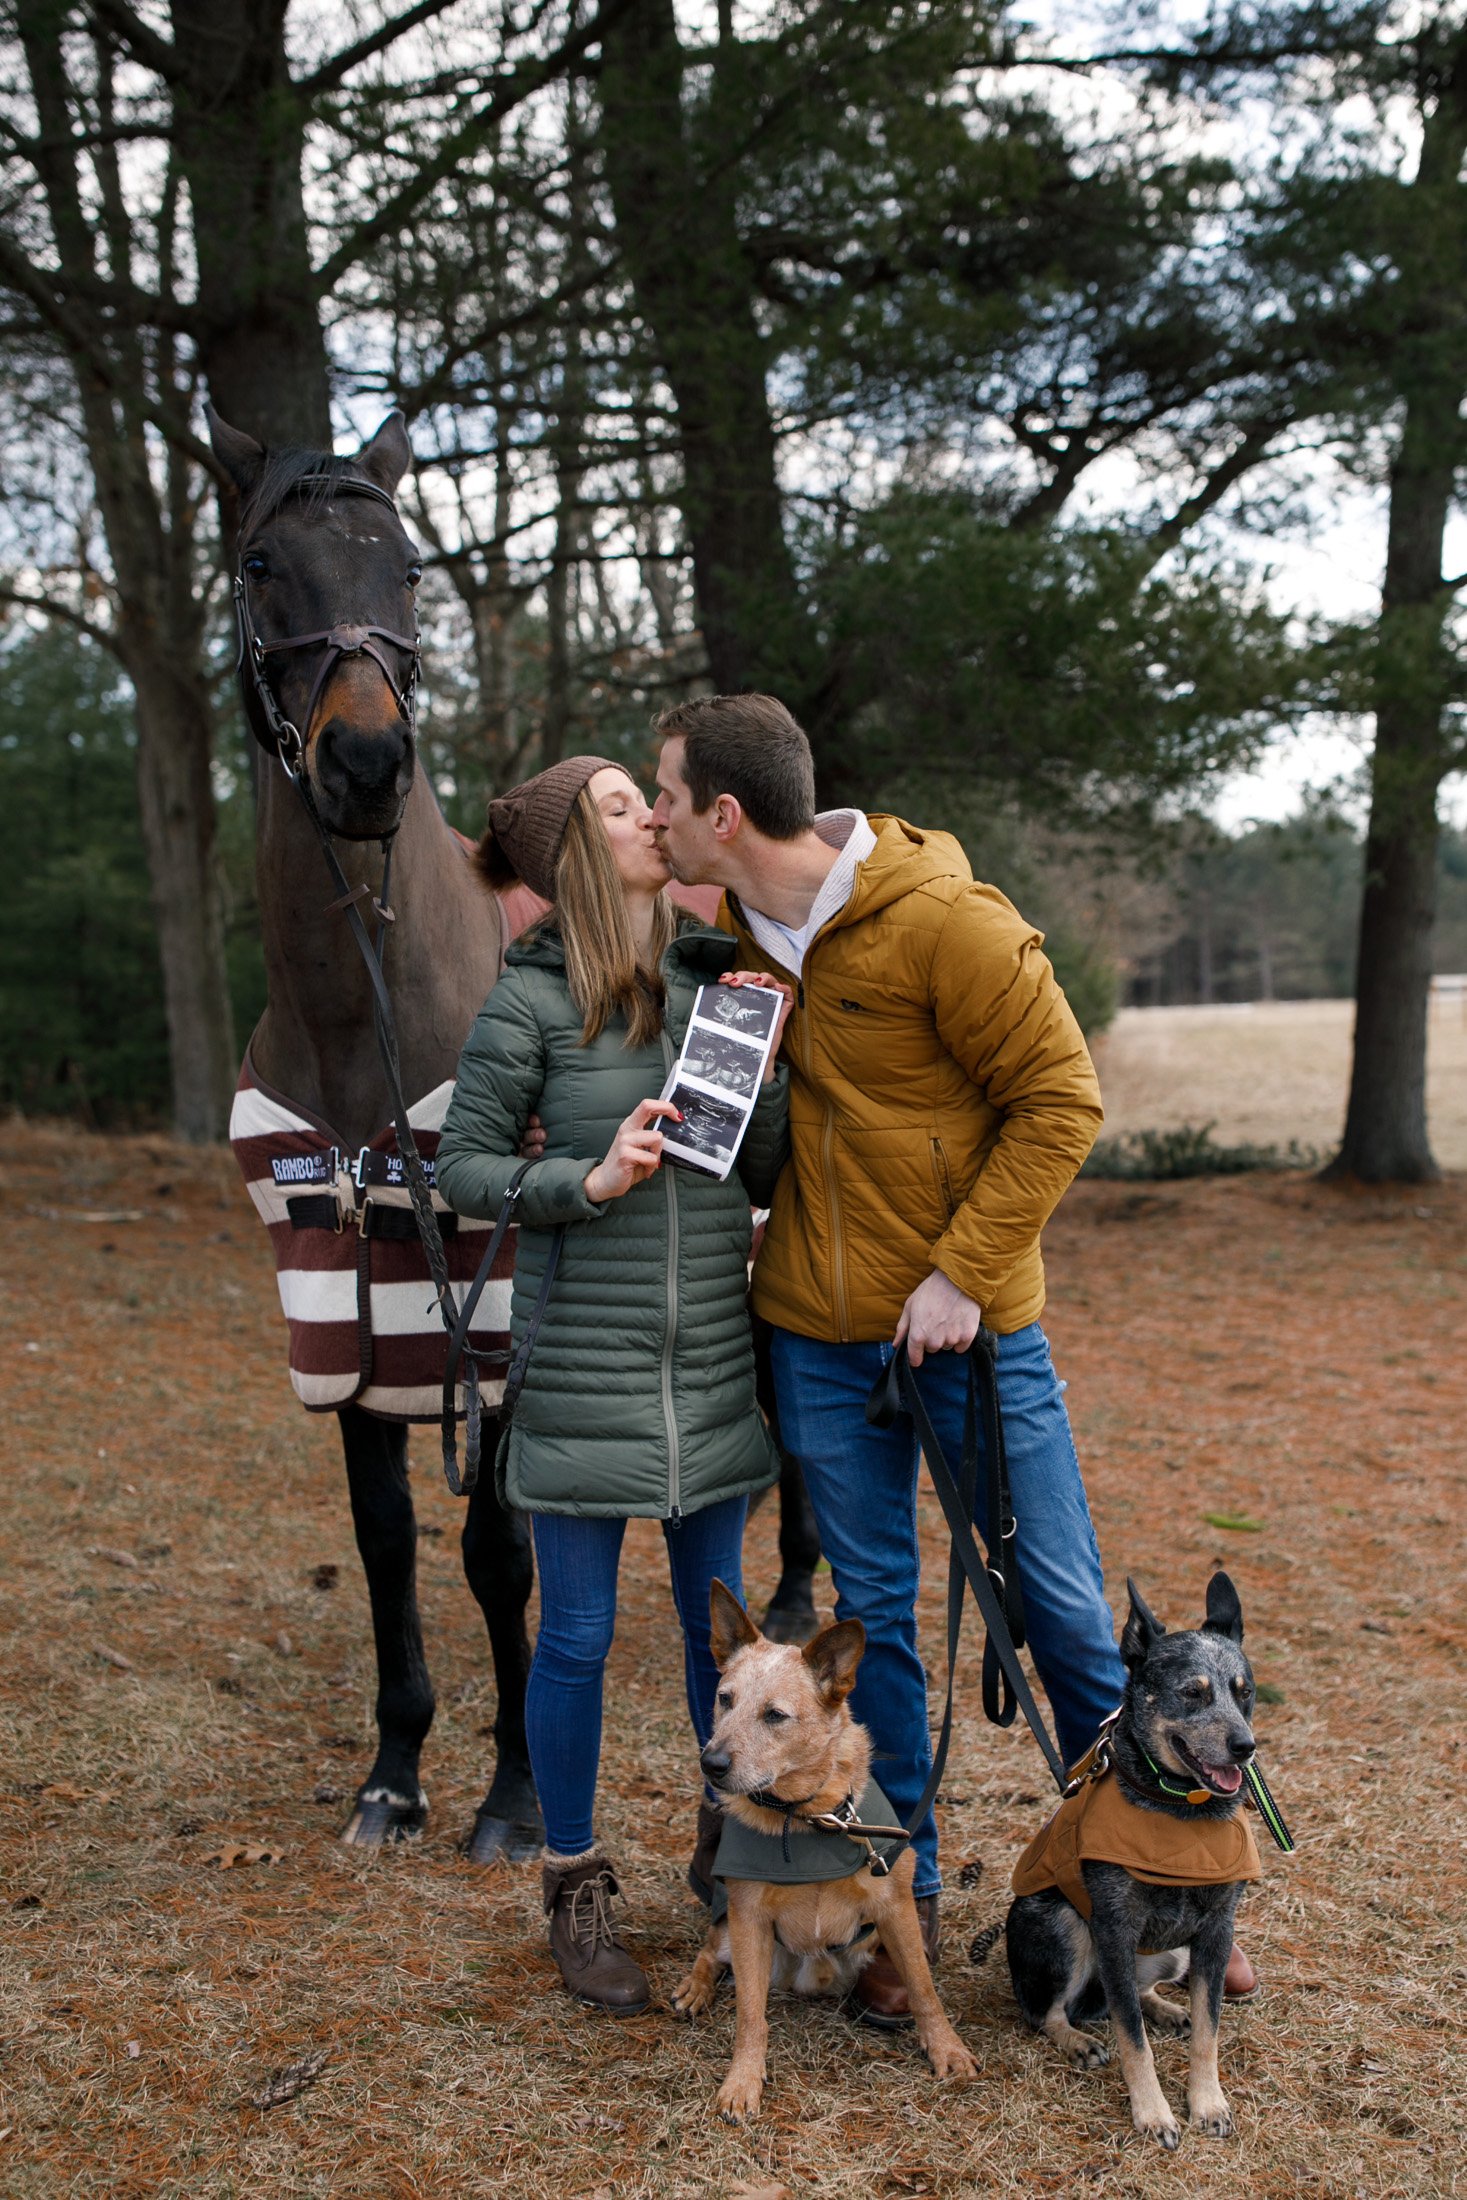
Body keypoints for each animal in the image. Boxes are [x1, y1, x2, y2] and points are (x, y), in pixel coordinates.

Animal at [211, 409, 822, 1856]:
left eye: (407, 566)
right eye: (262, 563)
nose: (365, 766)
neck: (369, 1020)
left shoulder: (484, 1324)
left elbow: (497, 1552)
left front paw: (512, 1789)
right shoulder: (352, 1303)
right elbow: (385, 1539)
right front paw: (393, 1772)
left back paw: (780, 1605)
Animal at [673, 1584, 976, 2112]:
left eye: (775, 1715)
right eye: (724, 1699)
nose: (711, 1763)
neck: (806, 1817)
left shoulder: (895, 1907)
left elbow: (923, 1989)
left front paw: (946, 2048)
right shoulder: (748, 1917)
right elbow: (750, 2016)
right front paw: (742, 2080)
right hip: (734, 1932)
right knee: (711, 1950)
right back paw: (696, 1987)